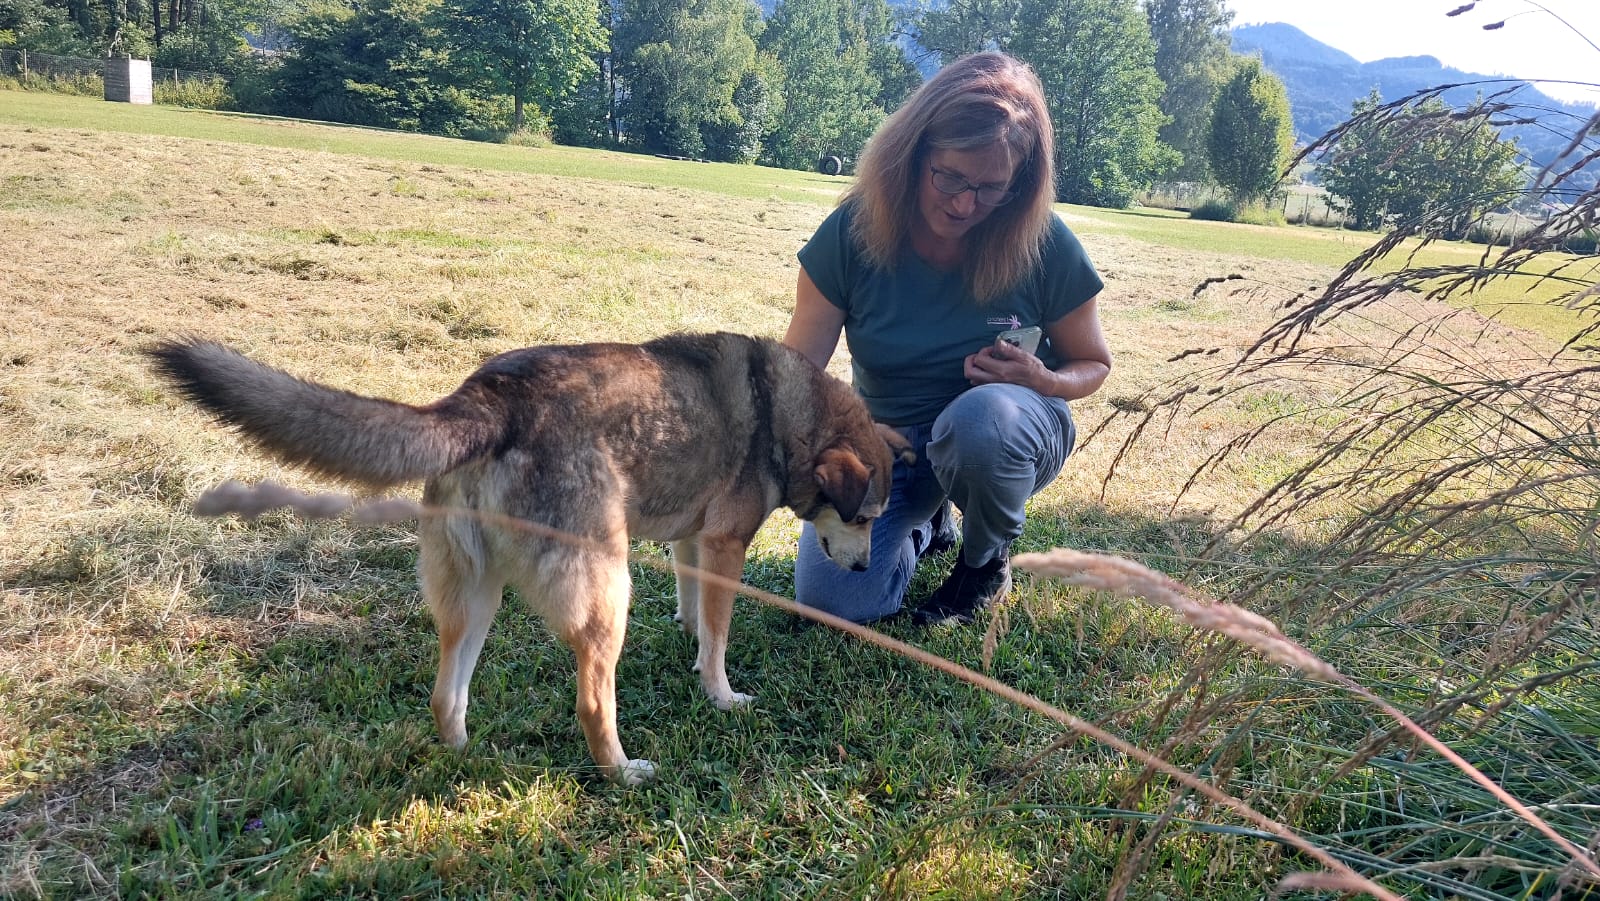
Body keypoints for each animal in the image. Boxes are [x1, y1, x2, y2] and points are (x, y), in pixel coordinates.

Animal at [149, 332, 911, 784]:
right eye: (863, 518)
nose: (862, 571)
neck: (786, 414)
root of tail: (486, 401)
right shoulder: (725, 545)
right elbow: (720, 637)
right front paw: (720, 693)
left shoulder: (694, 540)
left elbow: (696, 609)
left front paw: (691, 639)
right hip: (607, 591)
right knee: (593, 702)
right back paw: (622, 770)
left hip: (474, 593)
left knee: (445, 690)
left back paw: (461, 751)